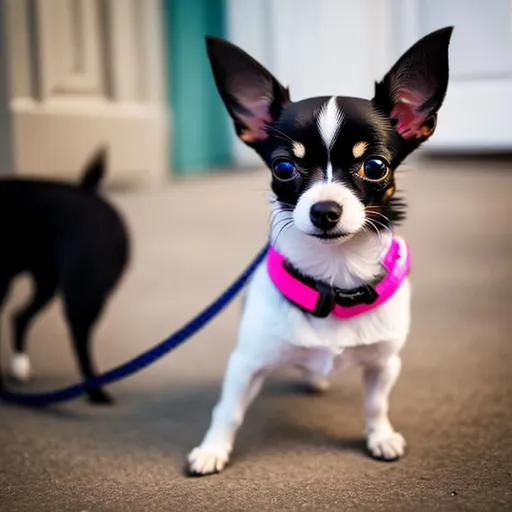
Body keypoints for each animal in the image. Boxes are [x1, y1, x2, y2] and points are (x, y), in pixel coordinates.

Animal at [188, 28, 452, 476]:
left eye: (375, 166)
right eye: (283, 168)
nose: (324, 210)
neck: (335, 274)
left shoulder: (385, 363)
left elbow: (375, 404)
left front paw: (380, 437)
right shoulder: (245, 363)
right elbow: (228, 410)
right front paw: (212, 449)